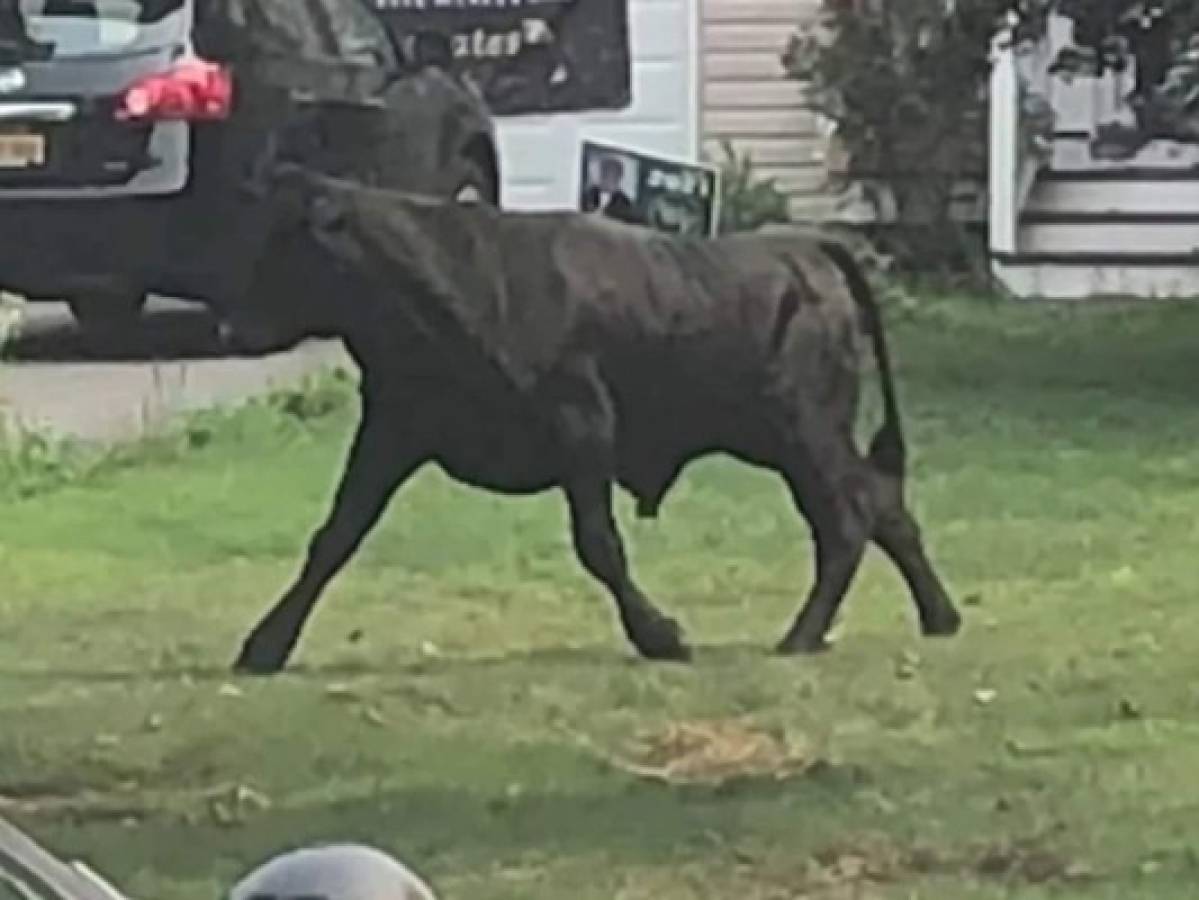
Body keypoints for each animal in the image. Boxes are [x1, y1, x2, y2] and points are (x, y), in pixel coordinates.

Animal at [225, 170, 959, 675]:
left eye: (284, 243)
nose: (229, 323)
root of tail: (806, 246)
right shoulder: (393, 431)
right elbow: (337, 535)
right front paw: (265, 644)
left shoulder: (582, 431)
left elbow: (598, 545)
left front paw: (660, 635)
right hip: (789, 439)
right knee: (882, 505)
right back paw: (938, 616)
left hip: (803, 433)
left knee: (848, 518)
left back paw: (802, 635)